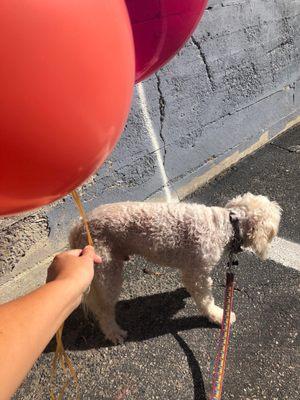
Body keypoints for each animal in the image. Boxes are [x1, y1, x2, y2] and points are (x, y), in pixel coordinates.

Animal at [70, 193, 282, 344]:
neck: (227, 225)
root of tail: (78, 225)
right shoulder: (196, 273)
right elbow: (205, 299)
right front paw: (218, 316)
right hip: (108, 272)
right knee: (104, 310)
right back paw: (114, 332)